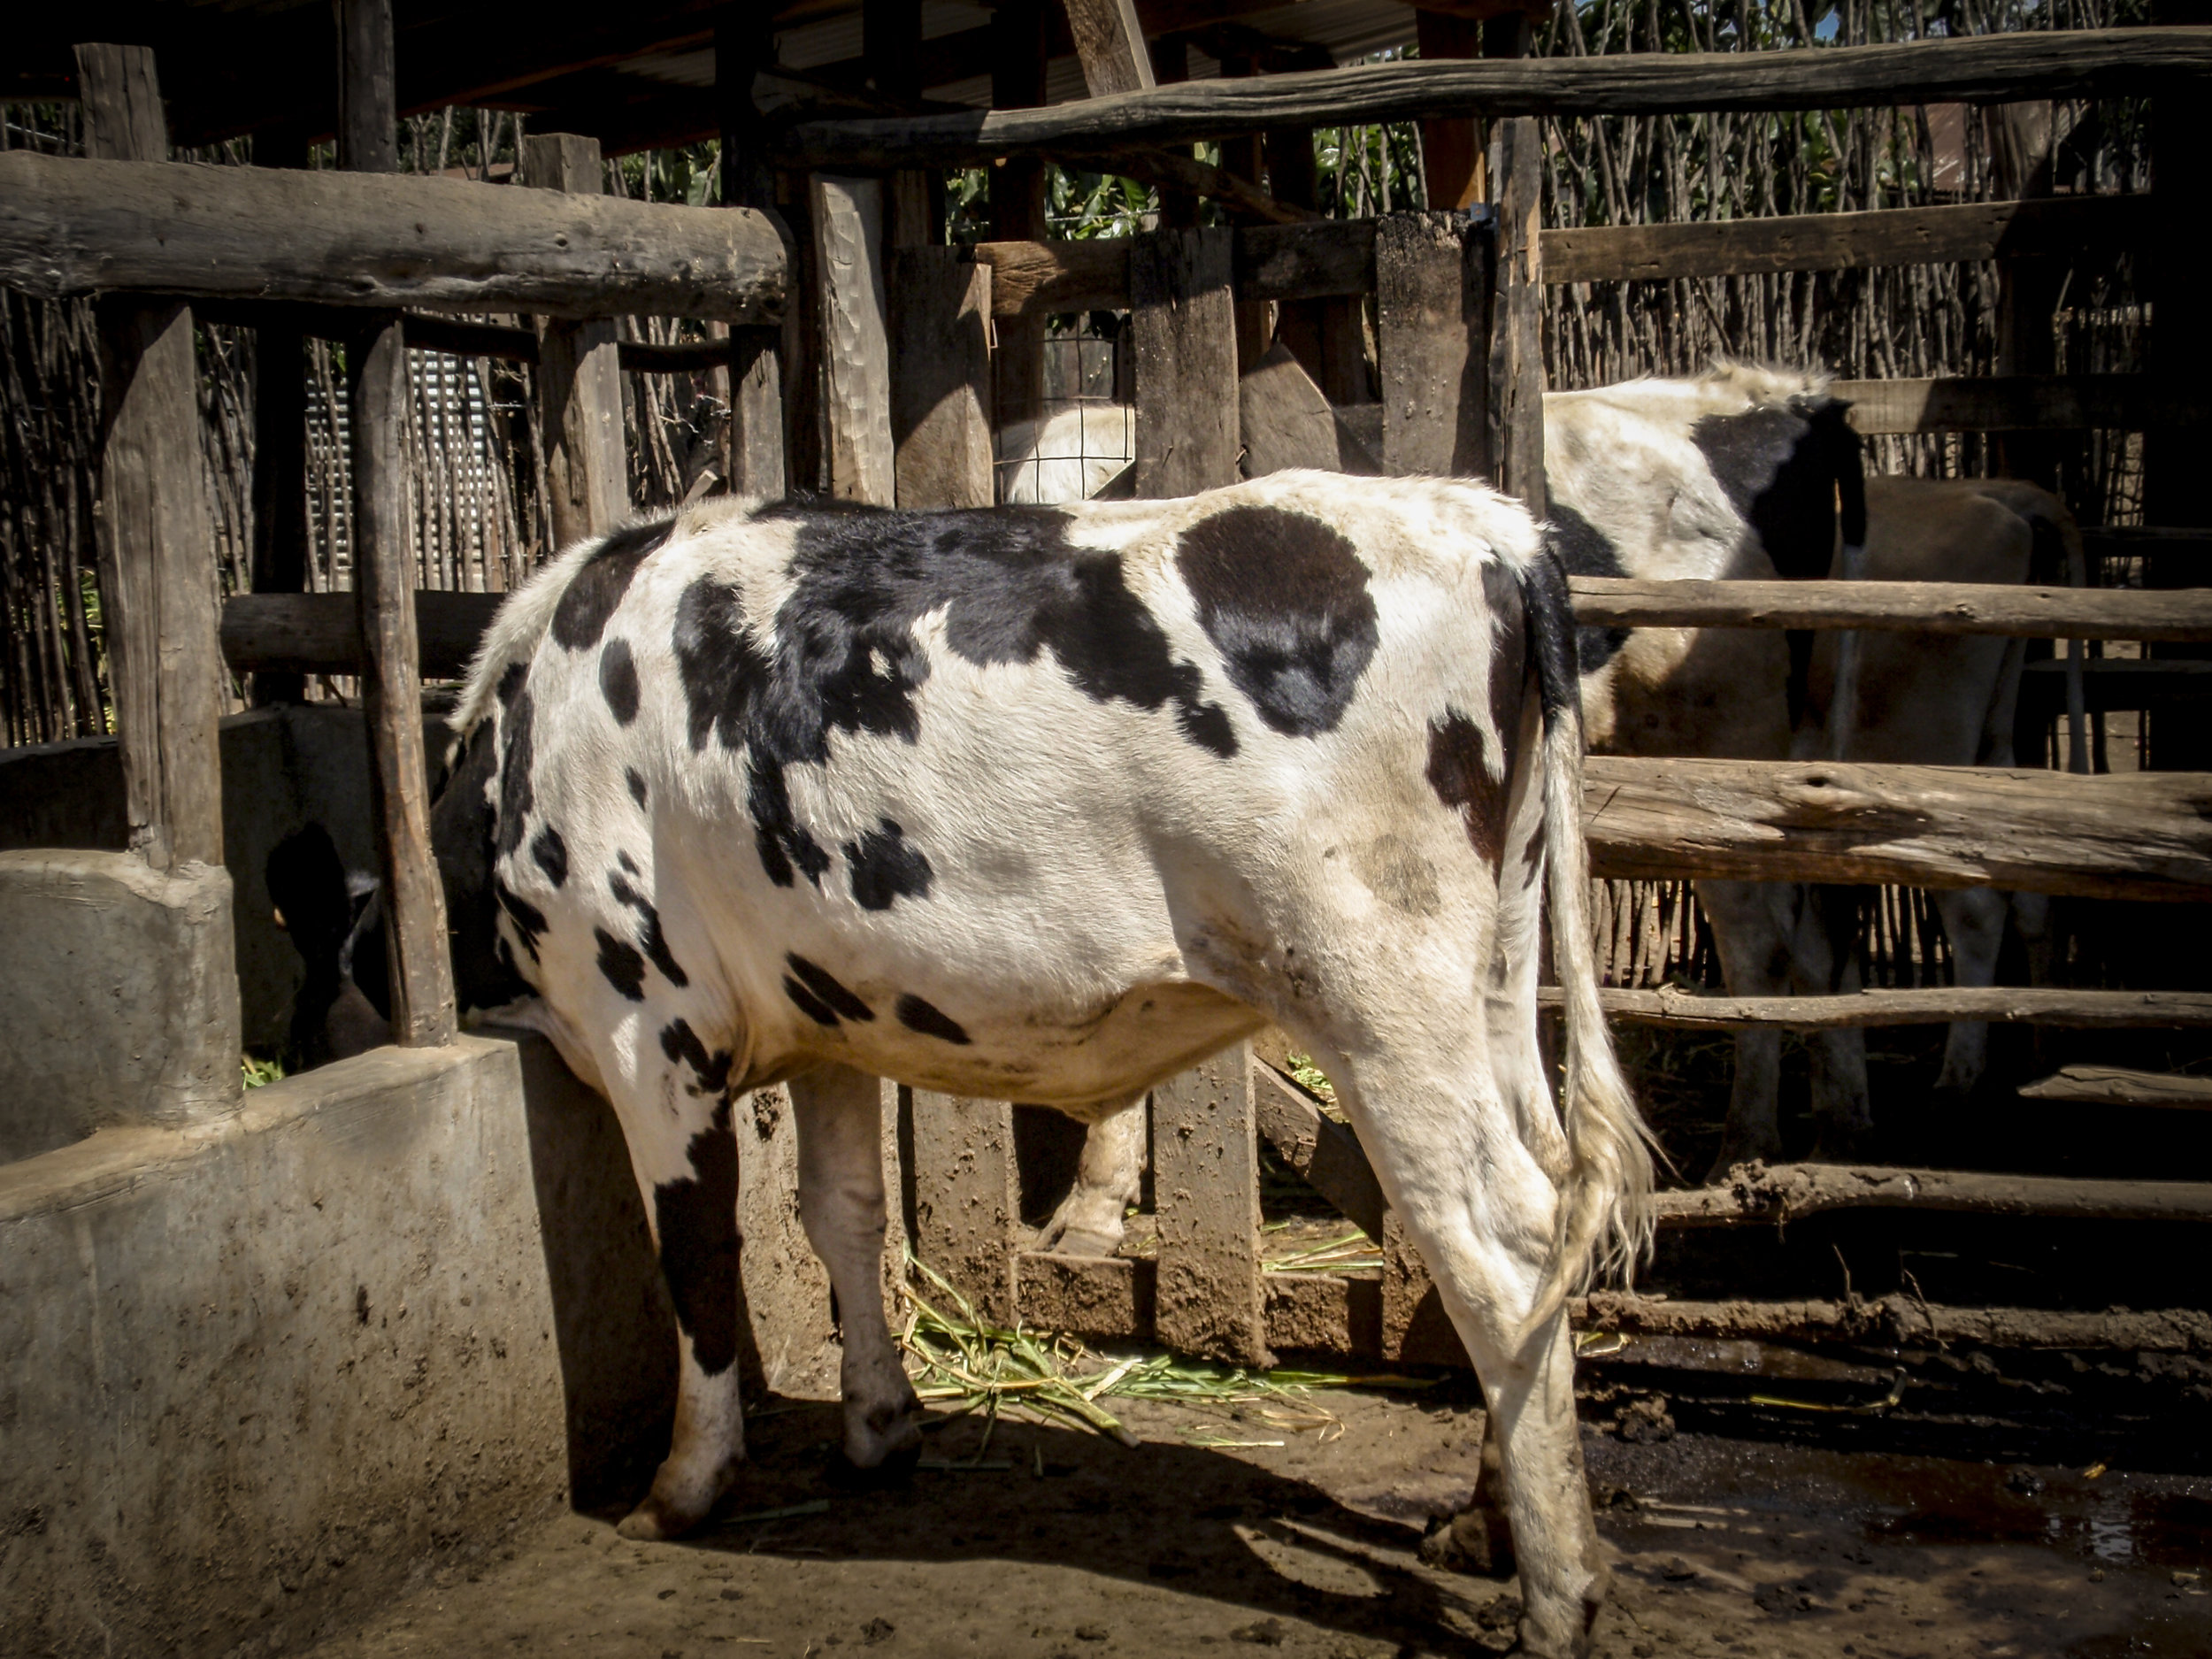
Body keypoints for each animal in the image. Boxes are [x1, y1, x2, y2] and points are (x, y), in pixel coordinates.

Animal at [411, 473, 1663, 1655]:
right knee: (1547, 1201)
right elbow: (843, 1214)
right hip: (1495, 971)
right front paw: (877, 1430)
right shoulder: (826, 1014)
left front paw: (683, 1486)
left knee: (1496, 1242)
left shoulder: (643, 1019)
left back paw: (1557, 1596)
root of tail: (1483, 520)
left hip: (1381, 987)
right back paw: (1483, 1528)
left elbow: (695, 1250)